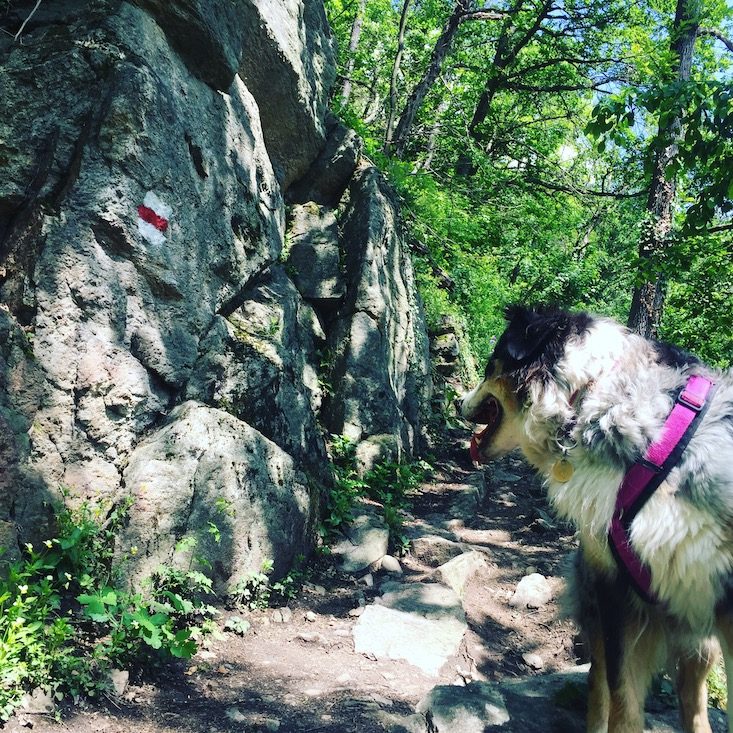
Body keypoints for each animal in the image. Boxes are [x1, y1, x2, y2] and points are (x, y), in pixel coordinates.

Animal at [464, 304, 732, 732]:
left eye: (490, 366)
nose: (457, 403)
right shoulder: (613, 583)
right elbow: (621, 695)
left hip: (699, 639)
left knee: (692, 702)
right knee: (599, 684)